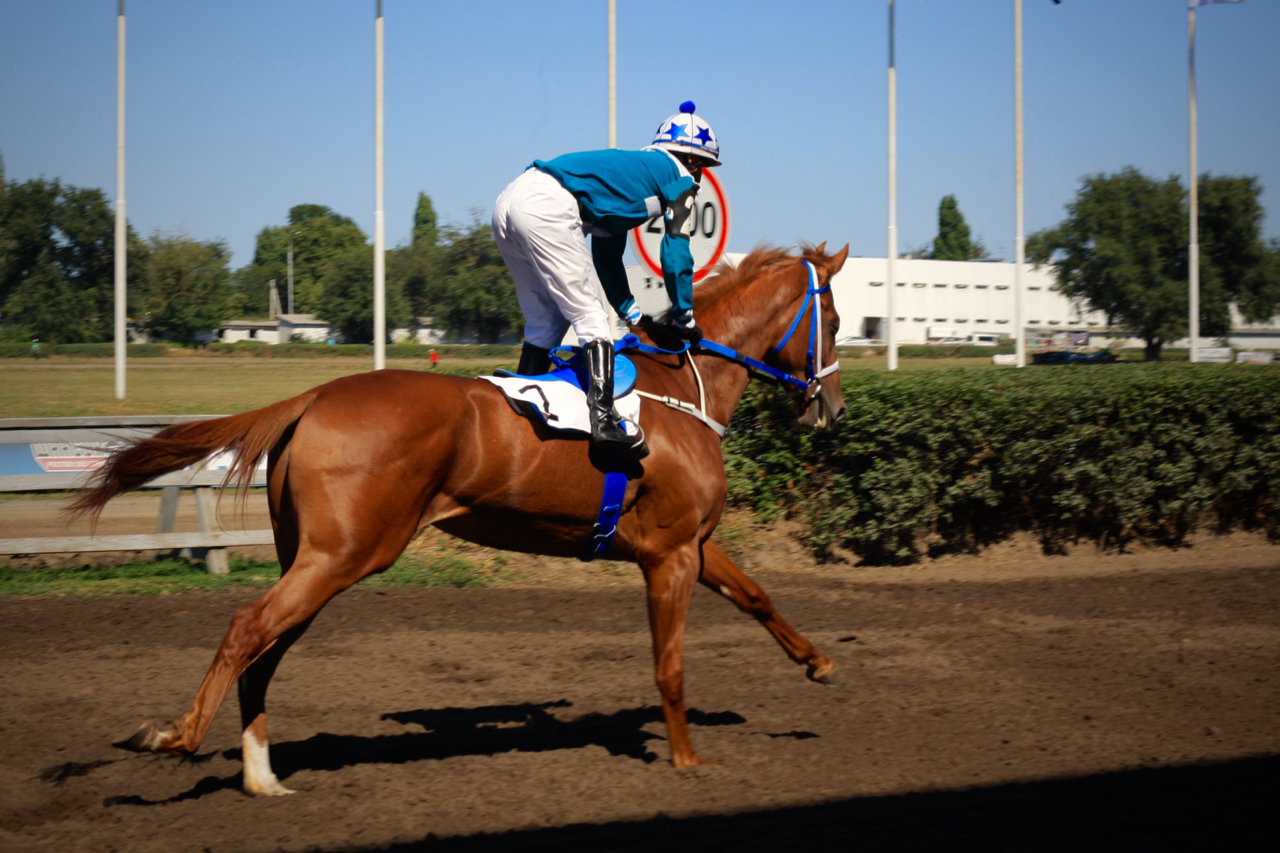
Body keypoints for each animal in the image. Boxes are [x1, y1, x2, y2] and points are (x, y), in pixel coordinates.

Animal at [70, 242, 849, 794]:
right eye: (836, 322)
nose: (833, 409)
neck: (681, 391)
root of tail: (313, 396)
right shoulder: (670, 554)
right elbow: (671, 663)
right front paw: (687, 761)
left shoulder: (691, 542)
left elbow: (757, 595)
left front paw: (817, 661)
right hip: (344, 553)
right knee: (246, 628)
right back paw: (176, 736)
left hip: (316, 556)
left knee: (269, 644)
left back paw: (262, 775)